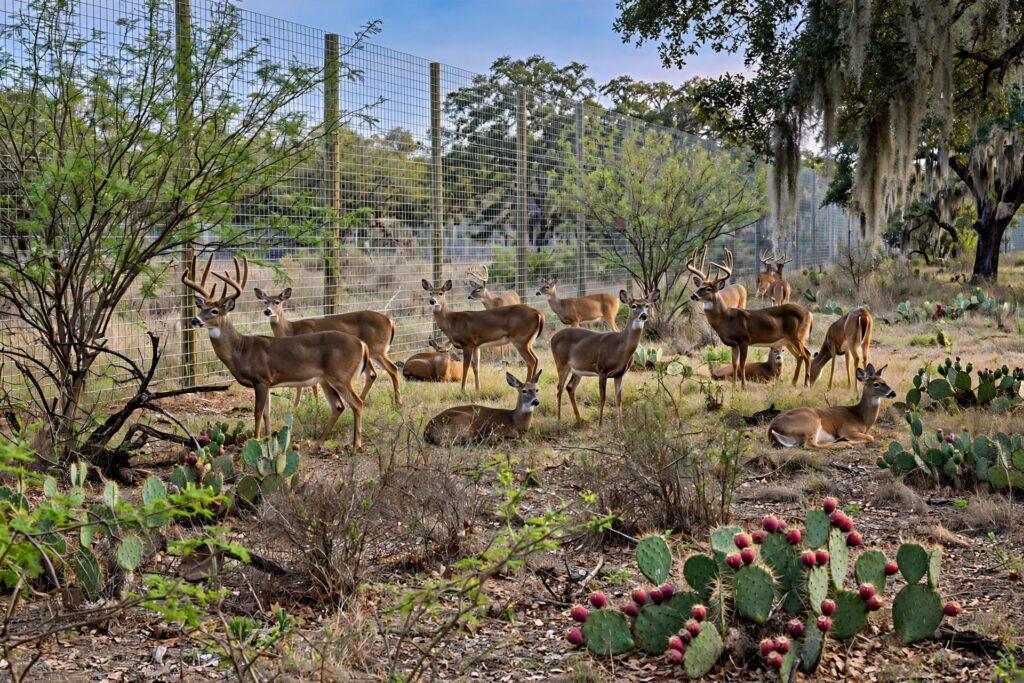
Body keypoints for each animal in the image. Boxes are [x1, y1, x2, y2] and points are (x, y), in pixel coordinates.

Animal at [183, 255, 373, 451]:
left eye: (214, 310)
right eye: (201, 308)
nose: (194, 320)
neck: (241, 350)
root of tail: (362, 344)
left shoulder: (261, 378)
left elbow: (258, 412)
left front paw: (256, 440)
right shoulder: (268, 383)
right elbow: (267, 413)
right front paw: (267, 440)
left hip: (341, 376)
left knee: (357, 403)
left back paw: (356, 445)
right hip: (326, 380)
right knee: (338, 406)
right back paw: (318, 444)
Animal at [252, 286, 401, 407]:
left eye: (277, 301)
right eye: (265, 301)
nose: (267, 311)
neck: (291, 330)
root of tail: (390, 321)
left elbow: (311, 384)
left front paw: (313, 404)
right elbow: (300, 385)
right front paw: (296, 406)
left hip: (378, 349)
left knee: (392, 368)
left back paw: (397, 402)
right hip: (371, 353)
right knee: (372, 374)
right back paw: (363, 399)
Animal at [551, 289, 660, 427]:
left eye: (647, 305)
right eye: (634, 306)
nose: (644, 315)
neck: (620, 347)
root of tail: (552, 338)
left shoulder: (619, 374)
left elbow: (619, 399)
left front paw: (621, 426)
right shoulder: (602, 370)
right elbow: (603, 398)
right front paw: (600, 424)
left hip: (578, 370)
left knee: (570, 387)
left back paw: (579, 419)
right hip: (561, 364)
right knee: (559, 389)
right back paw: (559, 419)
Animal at [688, 247, 813, 388]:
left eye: (708, 288)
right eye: (699, 286)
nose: (693, 296)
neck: (727, 319)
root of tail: (809, 314)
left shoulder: (744, 340)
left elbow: (742, 364)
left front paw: (743, 386)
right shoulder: (734, 344)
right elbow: (734, 363)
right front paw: (734, 386)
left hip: (797, 336)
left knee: (807, 355)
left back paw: (806, 384)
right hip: (788, 340)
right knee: (800, 356)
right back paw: (794, 382)